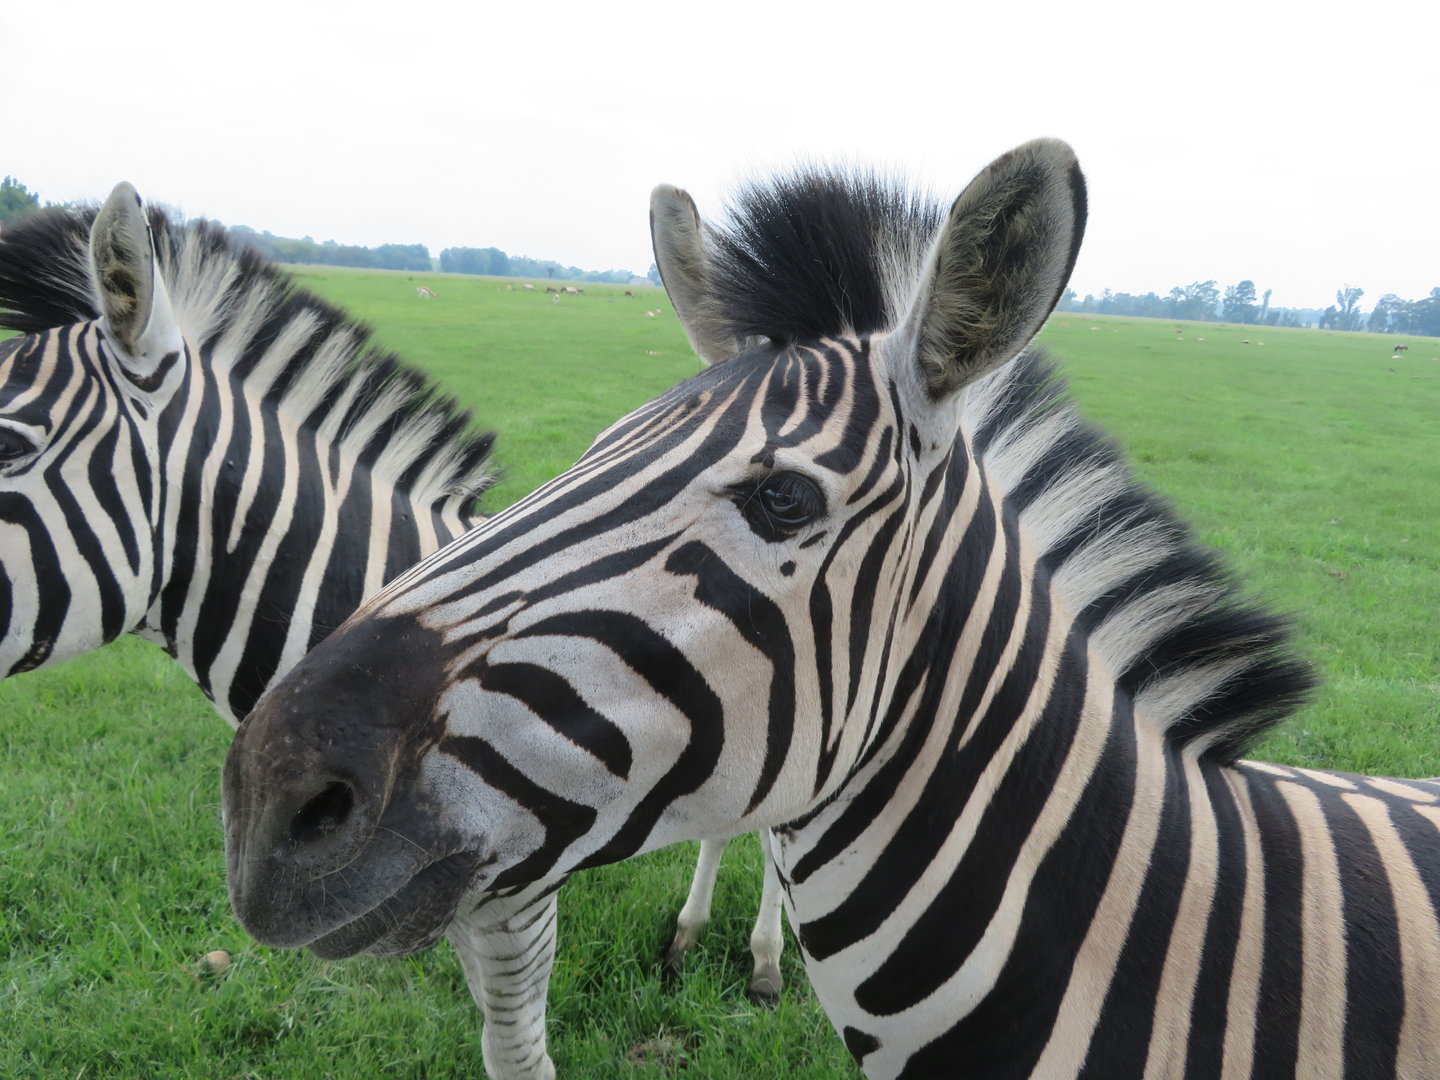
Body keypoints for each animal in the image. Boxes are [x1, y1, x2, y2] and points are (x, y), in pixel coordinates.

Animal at [0, 185, 776, 1080]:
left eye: (6, 443)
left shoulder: (512, 901)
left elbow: (517, 1055)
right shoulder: (439, 895)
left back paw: (763, 961)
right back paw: (691, 935)